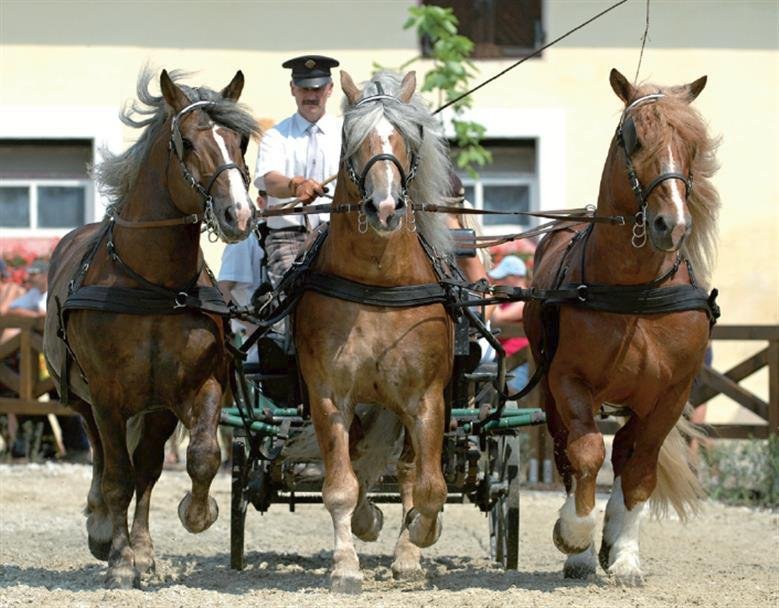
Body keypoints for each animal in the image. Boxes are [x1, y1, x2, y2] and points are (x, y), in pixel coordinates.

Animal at [43, 69, 258, 588]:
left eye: (241, 140)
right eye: (187, 142)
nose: (239, 214)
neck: (156, 284)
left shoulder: (197, 386)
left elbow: (200, 456)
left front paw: (193, 516)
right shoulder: (107, 395)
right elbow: (117, 478)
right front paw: (120, 560)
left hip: (153, 408)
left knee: (145, 468)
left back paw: (141, 549)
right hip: (83, 400)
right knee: (103, 460)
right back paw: (104, 531)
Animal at [298, 69, 458, 592]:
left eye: (408, 138)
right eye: (353, 138)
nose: (385, 207)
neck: (378, 284)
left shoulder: (427, 399)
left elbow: (429, 487)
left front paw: (422, 535)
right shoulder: (330, 395)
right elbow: (341, 485)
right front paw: (346, 563)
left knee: (408, 471)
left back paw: (408, 552)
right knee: (360, 466)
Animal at [524, 69, 720, 588]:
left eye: (693, 143)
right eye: (632, 137)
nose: (672, 224)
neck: (636, 294)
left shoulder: (671, 393)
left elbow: (641, 470)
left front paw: (626, 555)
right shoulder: (569, 381)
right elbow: (586, 453)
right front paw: (575, 536)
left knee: (628, 452)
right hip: (550, 392)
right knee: (567, 452)